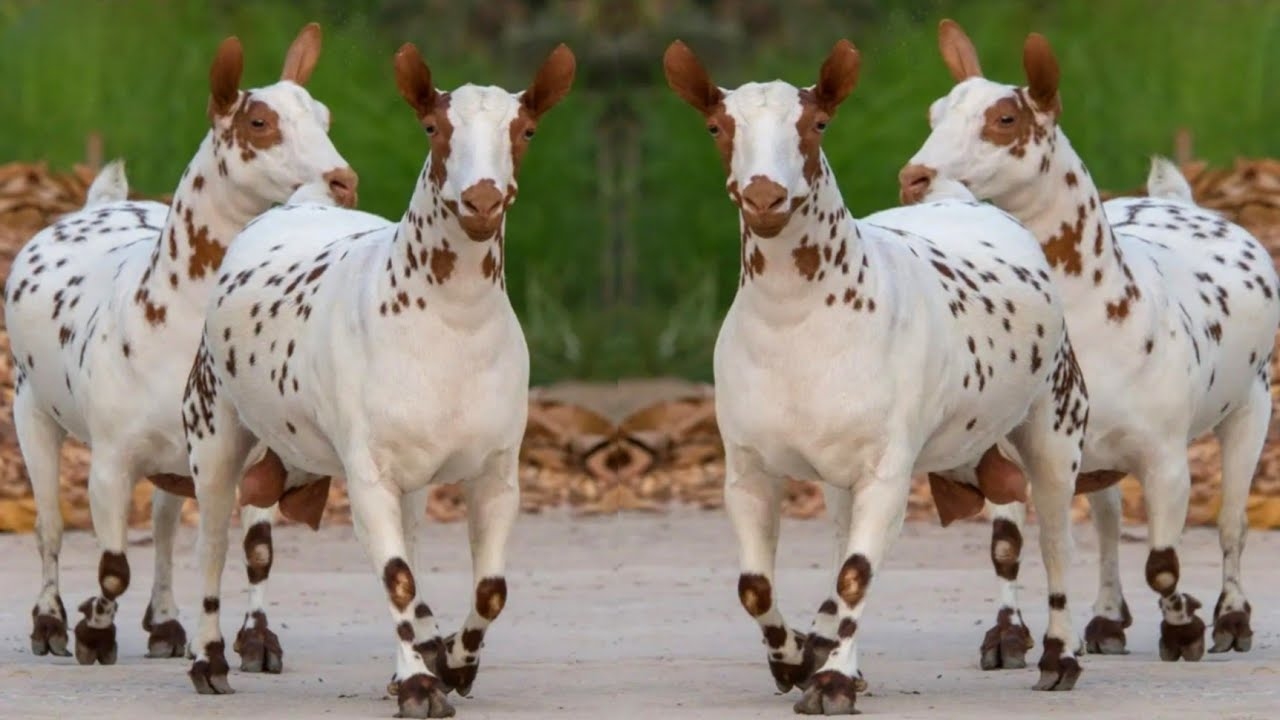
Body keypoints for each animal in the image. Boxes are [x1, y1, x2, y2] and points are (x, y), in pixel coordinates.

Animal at [3, 22, 357, 670]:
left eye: (324, 116)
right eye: (259, 123)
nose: (343, 181)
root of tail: (97, 205)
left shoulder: (256, 450)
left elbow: (257, 549)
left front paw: (256, 639)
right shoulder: (111, 460)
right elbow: (111, 566)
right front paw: (93, 632)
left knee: (165, 527)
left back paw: (165, 622)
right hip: (30, 409)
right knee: (50, 525)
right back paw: (50, 621)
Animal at [180, 42, 575, 719]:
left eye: (524, 131)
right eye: (434, 128)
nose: (482, 201)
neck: (448, 323)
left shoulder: (497, 472)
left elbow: (490, 589)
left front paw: (453, 663)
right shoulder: (367, 475)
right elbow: (396, 577)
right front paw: (418, 685)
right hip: (214, 428)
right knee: (211, 541)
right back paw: (208, 660)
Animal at [664, 38, 1088, 715]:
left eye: (816, 124)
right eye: (717, 128)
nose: (764, 197)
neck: (800, 321)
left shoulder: (887, 471)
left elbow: (856, 574)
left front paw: (833, 680)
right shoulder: (748, 469)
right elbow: (756, 585)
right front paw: (795, 659)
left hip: (1055, 418)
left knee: (1055, 537)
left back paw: (1060, 656)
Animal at [901, 19, 1279, 666]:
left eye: (1005, 119)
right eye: (934, 114)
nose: (914, 177)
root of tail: (1180, 202)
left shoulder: (1165, 456)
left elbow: (1163, 562)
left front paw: (1185, 629)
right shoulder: (1004, 448)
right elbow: (1007, 545)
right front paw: (1008, 635)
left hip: (1251, 406)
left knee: (1232, 521)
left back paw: (1231, 617)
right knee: (1107, 522)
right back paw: (1106, 618)